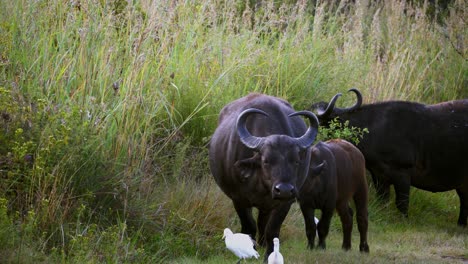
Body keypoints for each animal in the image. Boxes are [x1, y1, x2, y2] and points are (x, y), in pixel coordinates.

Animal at [210, 93, 320, 258]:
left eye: (296, 160)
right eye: (266, 160)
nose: (284, 189)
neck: (261, 184)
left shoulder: (285, 202)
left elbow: (272, 230)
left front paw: (269, 254)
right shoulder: (238, 199)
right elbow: (249, 227)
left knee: (263, 222)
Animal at [310, 89, 468, 227]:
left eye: (319, 122)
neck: (375, 130)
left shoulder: (402, 174)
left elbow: (402, 202)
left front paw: (404, 220)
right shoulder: (379, 176)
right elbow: (383, 200)